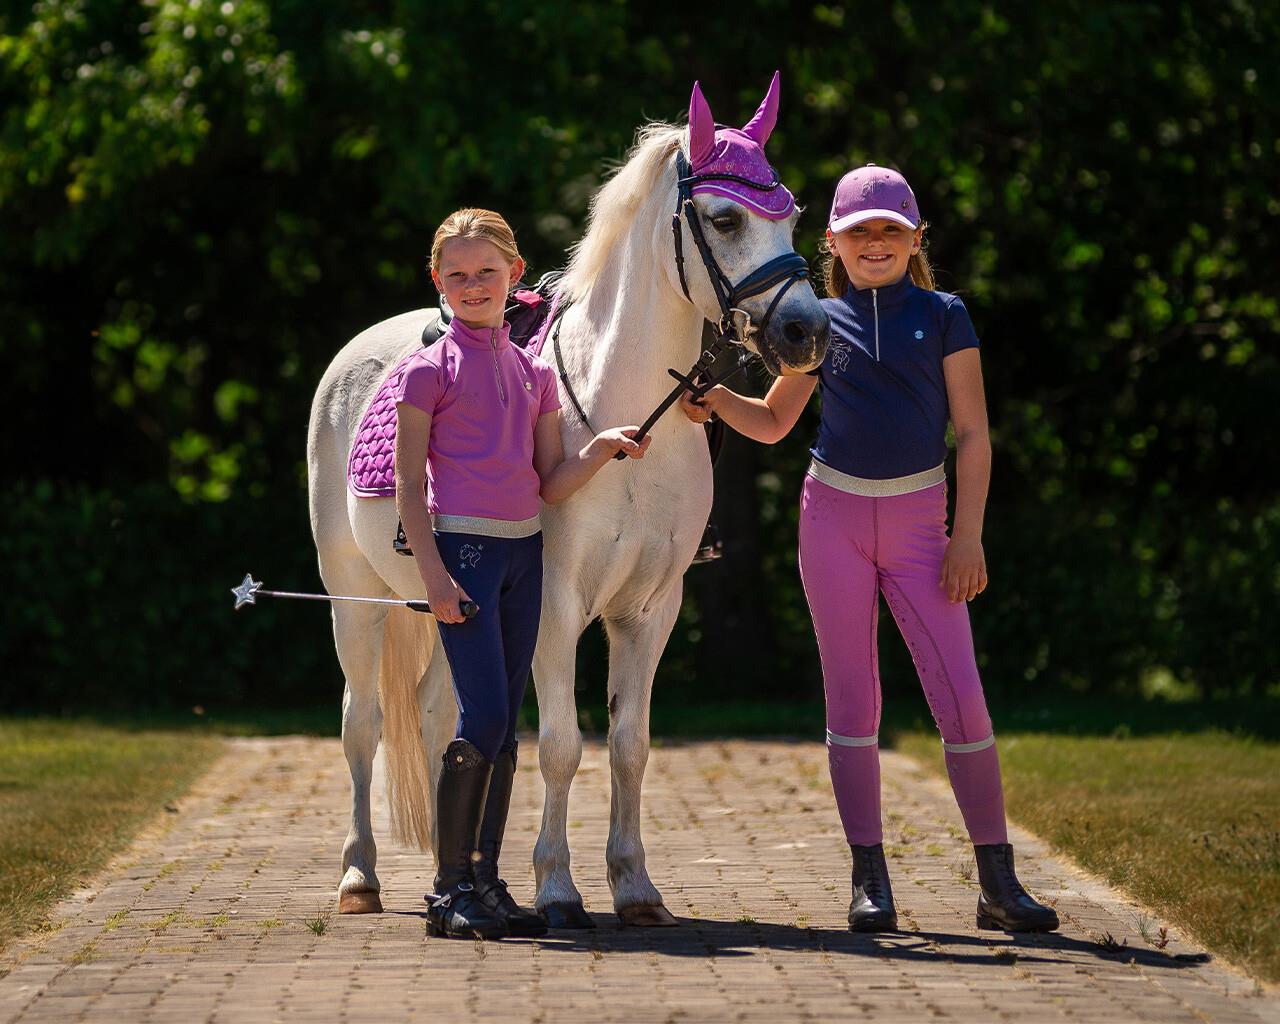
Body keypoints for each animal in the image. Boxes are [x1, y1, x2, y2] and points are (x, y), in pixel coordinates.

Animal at [306, 73, 829, 926]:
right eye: (725, 219)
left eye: (790, 213)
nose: (805, 332)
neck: (627, 423)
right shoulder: (554, 605)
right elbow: (560, 746)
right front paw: (557, 887)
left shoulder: (650, 610)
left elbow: (628, 746)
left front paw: (635, 886)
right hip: (354, 596)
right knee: (362, 723)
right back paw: (360, 877)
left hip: (448, 607)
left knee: (437, 716)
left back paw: (449, 878)